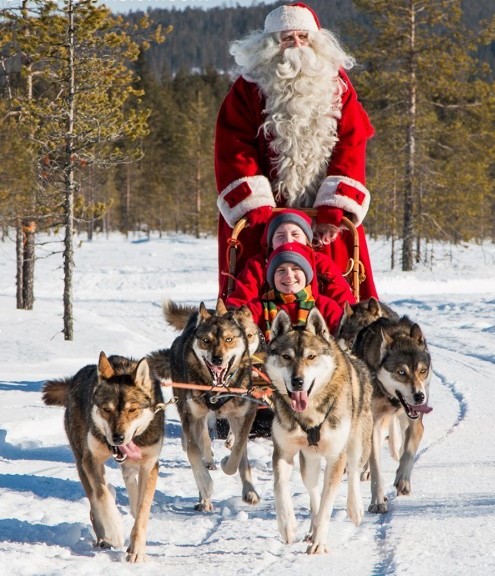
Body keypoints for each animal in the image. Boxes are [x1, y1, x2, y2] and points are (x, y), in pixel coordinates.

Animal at [41, 352, 165, 564]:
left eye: (132, 410)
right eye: (107, 410)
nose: (118, 437)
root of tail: (74, 379)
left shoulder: (149, 465)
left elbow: (142, 511)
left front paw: (137, 551)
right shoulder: (91, 460)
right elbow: (102, 495)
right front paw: (114, 530)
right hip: (81, 462)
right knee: (94, 500)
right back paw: (103, 536)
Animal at [164, 300, 264, 510]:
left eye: (229, 339)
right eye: (206, 340)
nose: (217, 359)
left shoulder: (245, 413)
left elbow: (238, 452)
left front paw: (228, 463)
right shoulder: (190, 416)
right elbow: (194, 451)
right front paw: (205, 485)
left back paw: (249, 490)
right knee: (201, 440)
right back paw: (204, 496)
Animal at [264, 308, 372, 556]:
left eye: (311, 357)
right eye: (286, 357)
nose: (297, 381)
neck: (309, 415)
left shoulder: (335, 457)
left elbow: (327, 505)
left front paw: (319, 543)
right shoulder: (283, 452)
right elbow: (279, 488)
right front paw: (288, 526)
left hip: (357, 444)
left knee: (353, 471)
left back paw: (355, 508)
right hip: (309, 461)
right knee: (313, 491)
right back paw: (310, 528)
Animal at [352, 316, 434, 512]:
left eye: (422, 370)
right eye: (401, 372)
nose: (419, 397)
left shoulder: (415, 422)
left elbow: (408, 454)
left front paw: (403, 481)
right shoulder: (373, 425)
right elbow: (376, 469)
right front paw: (377, 501)